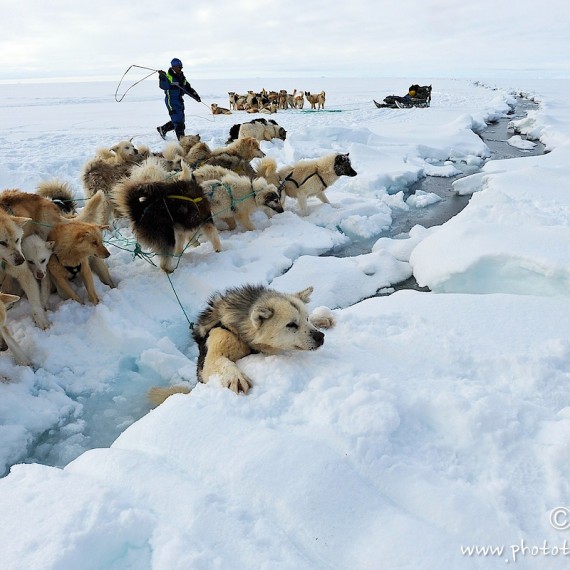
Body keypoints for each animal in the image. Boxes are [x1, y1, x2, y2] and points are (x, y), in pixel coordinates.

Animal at [148, 282, 332, 402]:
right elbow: (220, 361)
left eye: (306, 319)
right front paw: (235, 376)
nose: (320, 337)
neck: (238, 330)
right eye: (291, 325)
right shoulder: (218, 340)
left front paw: (322, 317)